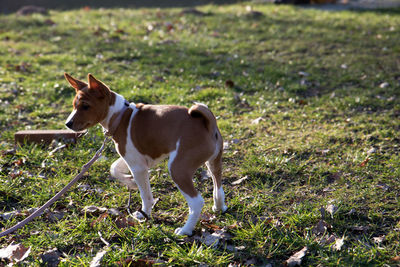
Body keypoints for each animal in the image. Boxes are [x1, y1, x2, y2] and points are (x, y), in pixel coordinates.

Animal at [64, 74, 227, 237]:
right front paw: (130, 182)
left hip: (178, 169)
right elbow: (114, 168)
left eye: (85, 106)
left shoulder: (138, 166)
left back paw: (185, 230)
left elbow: (146, 196)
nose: (68, 124)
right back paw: (219, 207)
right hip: (213, 162)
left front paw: (144, 213)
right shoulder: (136, 158)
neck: (120, 116)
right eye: (74, 105)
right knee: (218, 186)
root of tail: (208, 124)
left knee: (196, 202)